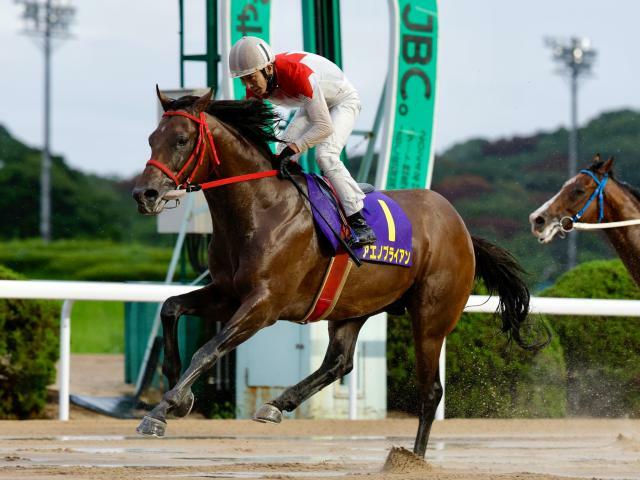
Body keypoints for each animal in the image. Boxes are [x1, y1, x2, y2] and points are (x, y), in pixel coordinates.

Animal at [132, 88, 536, 460]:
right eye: (151, 139)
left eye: (181, 140)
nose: (144, 193)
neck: (261, 209)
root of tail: (462, 229)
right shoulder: (228, 292)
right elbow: (171, 307)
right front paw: (175, 385)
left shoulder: (264, 305)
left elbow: (208, 349)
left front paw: (164, 408)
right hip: (353, 306)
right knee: (340, 362)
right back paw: (277, 404)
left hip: (431, 316)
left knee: (430, 390)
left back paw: (415, 459)